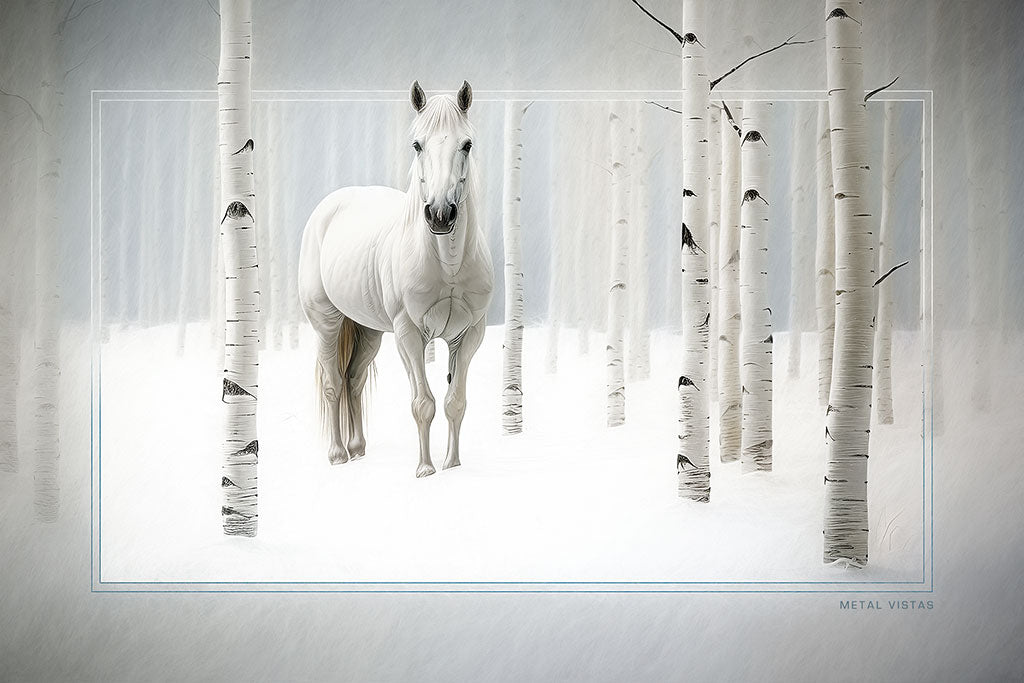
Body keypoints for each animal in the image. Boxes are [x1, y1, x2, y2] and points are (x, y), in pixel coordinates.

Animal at [299, 80, 493, 479]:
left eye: (466, 144)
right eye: (417, 145)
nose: (439, 215)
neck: (447, 263)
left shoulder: (470, 335)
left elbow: (455, 401)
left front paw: (452, 464)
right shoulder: (409, 334)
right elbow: (423, 403)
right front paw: (425, 469)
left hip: (369, 331)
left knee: (353, 380)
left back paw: (358, 449)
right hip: (327, 323)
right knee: (332, 383)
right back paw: (337, 455)